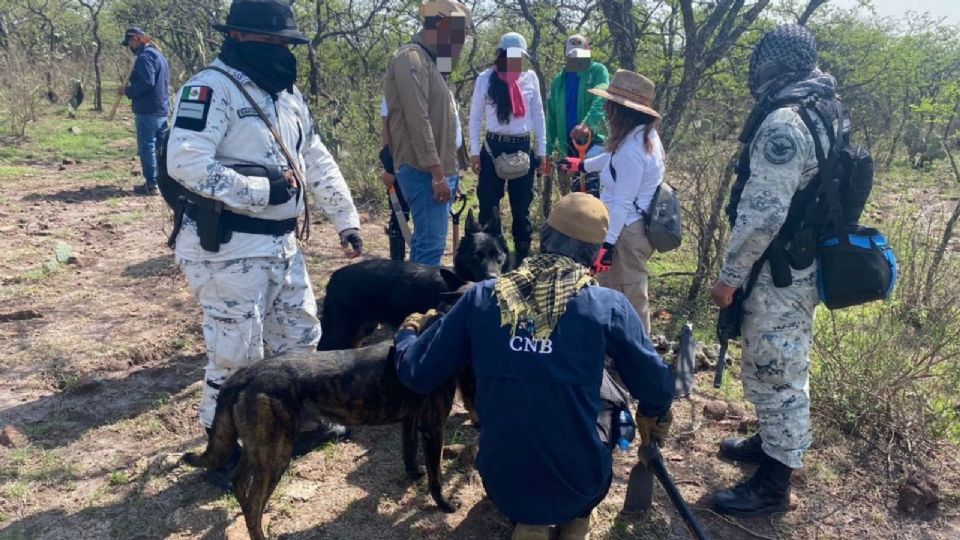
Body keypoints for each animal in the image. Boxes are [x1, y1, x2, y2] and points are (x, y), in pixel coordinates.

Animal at [186, 340, 464, 540]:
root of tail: (242, 375)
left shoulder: (412, 420)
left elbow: (409, 450)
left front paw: (414, 474)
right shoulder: (433, 427)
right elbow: (437, 477)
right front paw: (445, 506)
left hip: (260, 448)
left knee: (240, 481)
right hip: (277, 455)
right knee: (254, 503)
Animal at [316, 209, 510, 352]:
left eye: (498, 255)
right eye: (476, 256)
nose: (493, 278)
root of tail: (335, 276)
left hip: (362, 330)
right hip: (338, 334)